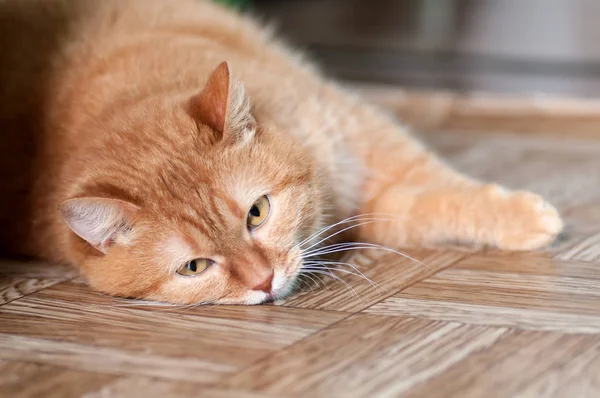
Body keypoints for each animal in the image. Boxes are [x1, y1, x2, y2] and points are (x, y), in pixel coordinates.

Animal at [0, 0, 564, 304]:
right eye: (193, 268)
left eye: (257, 212)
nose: (264, 281)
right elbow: (417, 212)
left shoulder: (360, 132)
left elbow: (443, 189)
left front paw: (518, 217)